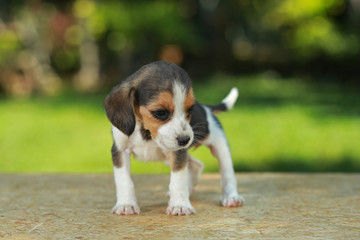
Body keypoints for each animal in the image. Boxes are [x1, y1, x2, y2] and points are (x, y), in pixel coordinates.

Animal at [104, 61, 245, 216]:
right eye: (160, 112)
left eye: (190, 110)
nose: (185, 140)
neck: (146, 132)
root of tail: (206, 108)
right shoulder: (120, 151)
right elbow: (124, 180)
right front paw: (126, 204)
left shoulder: (178, 153)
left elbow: (178, 179)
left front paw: (179, 205)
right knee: (197, 165)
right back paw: (189, 189)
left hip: (220, 146)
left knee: (227, 174)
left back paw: (231, 197)